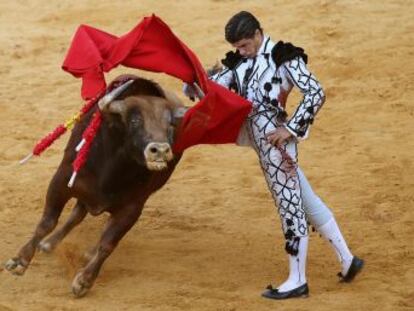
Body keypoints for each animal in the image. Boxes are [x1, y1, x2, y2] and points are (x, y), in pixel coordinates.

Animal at [4, 74, 188, 298]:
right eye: (135, 120)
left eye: (170, 124)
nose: (160, 150)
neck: (112, 169)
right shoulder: (61, 182)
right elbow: (46, 222)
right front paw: (19, 261)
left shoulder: (132, 208)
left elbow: (107, 244)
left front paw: (84, 281)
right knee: (76, 215)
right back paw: (48, 244)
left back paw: (81, 252)